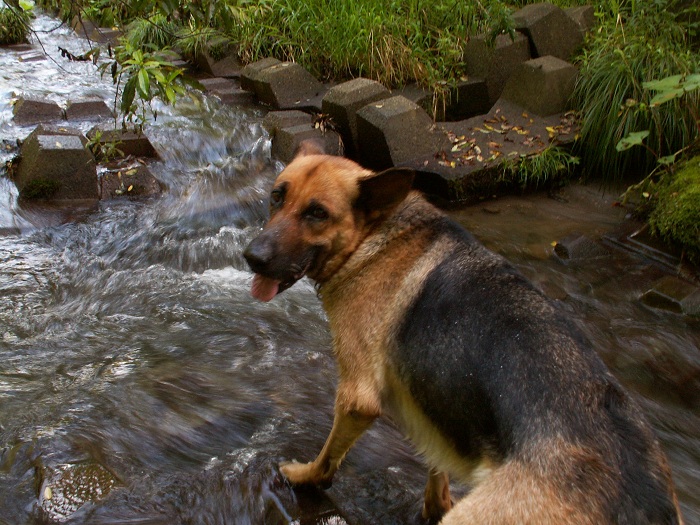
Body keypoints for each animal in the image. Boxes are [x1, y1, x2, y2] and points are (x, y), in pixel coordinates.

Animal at [243, 141, 680, 520]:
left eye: (317, 213)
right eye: (277, 197)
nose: (251, 257)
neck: (373, 238)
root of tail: (639, 501)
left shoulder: (356, 398)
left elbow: (327, 456)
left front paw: (304, 476)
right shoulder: (433, 411)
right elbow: (437, 467)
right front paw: (433, 503)